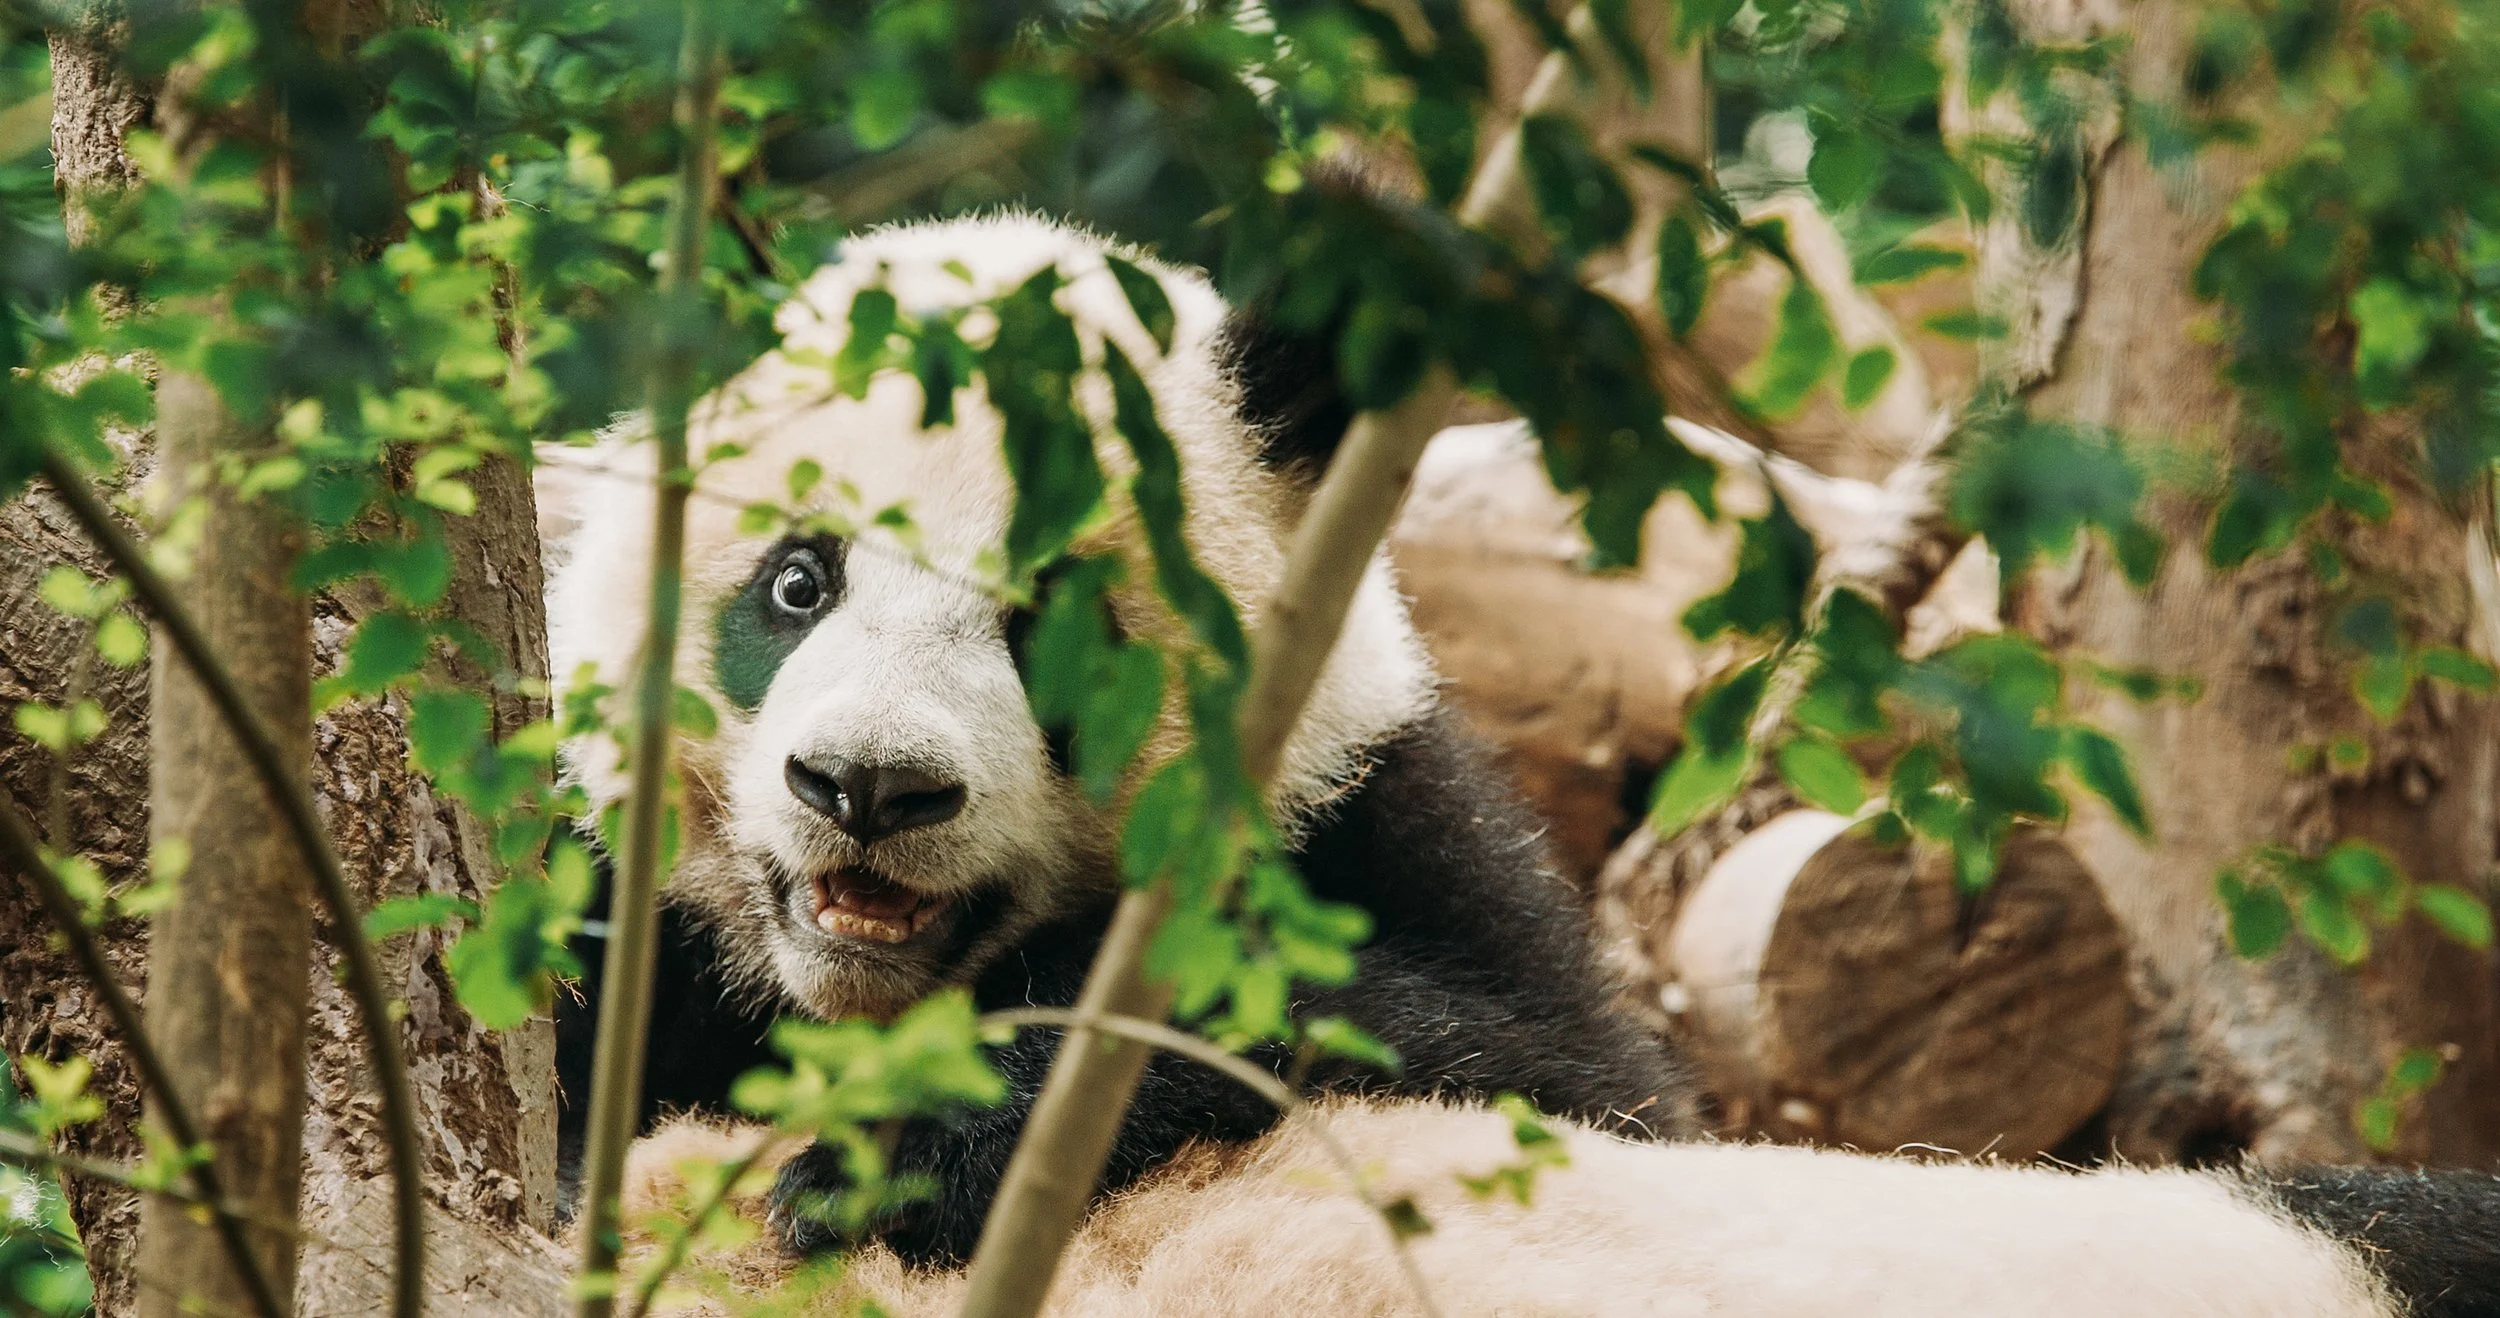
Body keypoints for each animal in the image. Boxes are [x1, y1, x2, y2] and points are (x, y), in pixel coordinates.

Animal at [547, 212, 2500, 1315]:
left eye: (1063, 624)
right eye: (797, 579)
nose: (869, 789)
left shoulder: (1372, 820)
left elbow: (1528, 1061)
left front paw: (905, 1148)